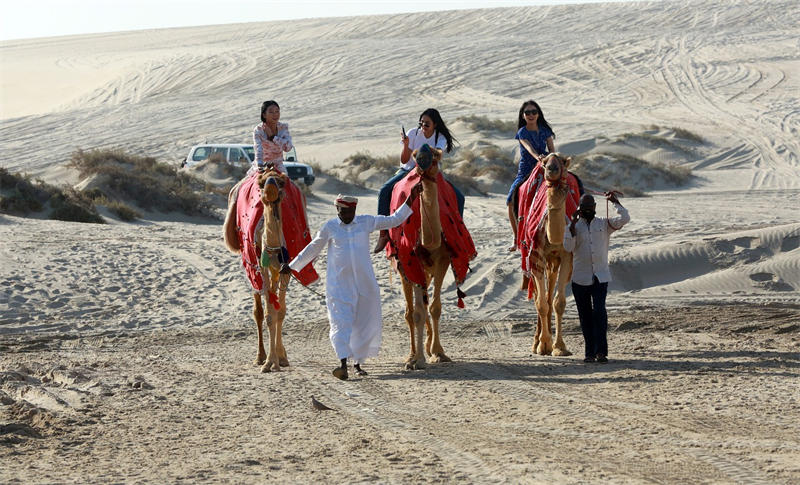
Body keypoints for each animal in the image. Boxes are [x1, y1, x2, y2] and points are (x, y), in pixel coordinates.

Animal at [223, 168, 292, 372]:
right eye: (261, 183)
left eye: (281, 182)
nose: (270, 189)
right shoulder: (261, 267)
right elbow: (269, 314)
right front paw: (270, 362)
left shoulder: (286, 269)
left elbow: (281, 311)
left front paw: (281, 358)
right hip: (251, 268)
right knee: (258, 311)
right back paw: (260, 357)